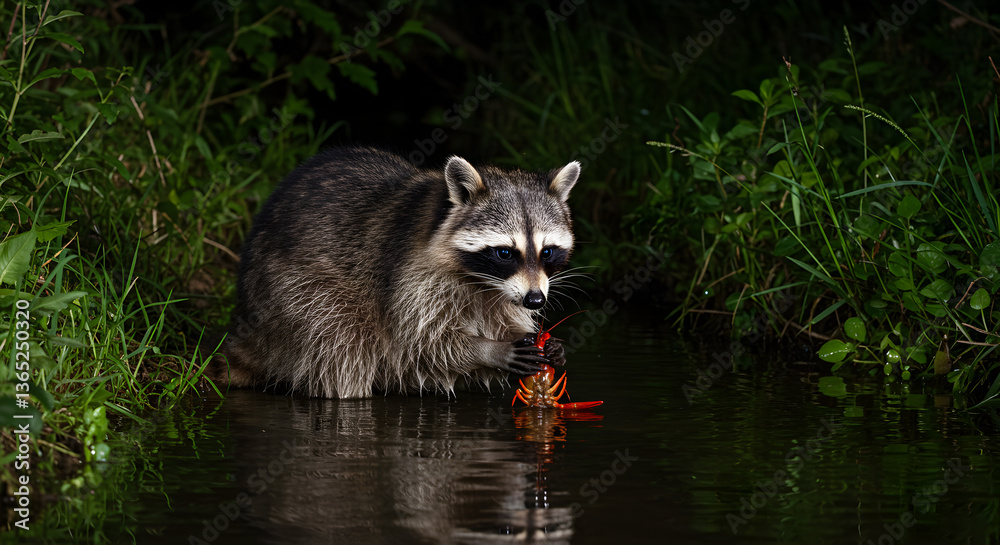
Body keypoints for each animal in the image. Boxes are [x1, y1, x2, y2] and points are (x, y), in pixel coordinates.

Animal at [219, 146, 580, 398]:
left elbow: (503, 318)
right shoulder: (410, 276)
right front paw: (490, 349)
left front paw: (536, 341)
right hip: (296, 293)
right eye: (505, 253)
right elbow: (421, 344)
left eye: (547, 251)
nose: (536, 300)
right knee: (341, 344)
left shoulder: (504, 292)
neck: (481, 281)